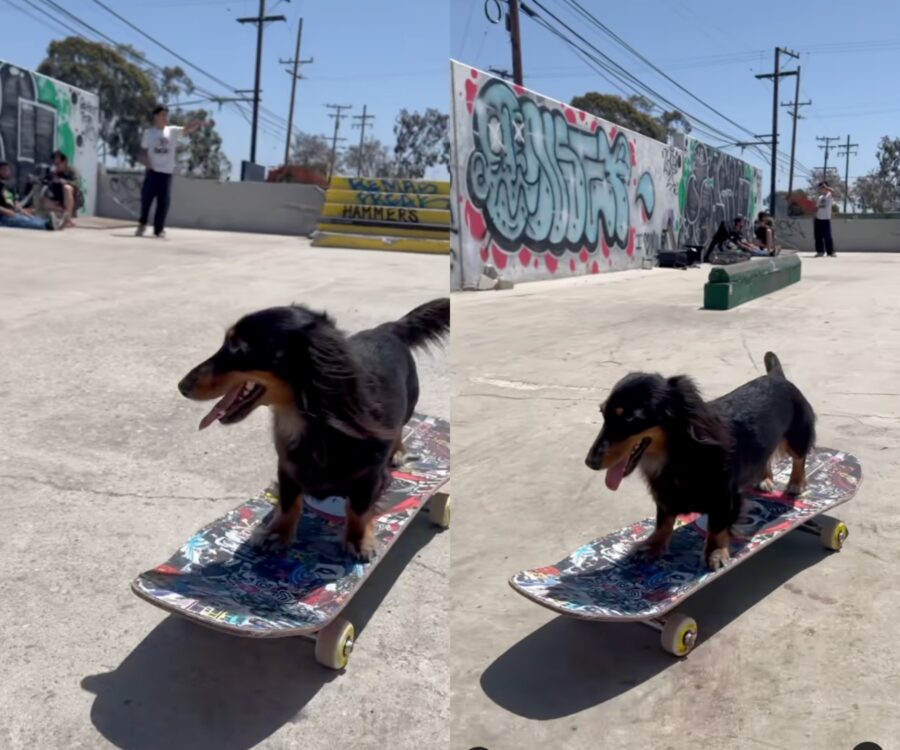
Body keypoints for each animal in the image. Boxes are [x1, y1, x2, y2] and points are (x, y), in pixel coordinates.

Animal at [179, 300, 450, 564]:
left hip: (408, 405)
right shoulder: (286, 467)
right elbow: (289, 503)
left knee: (399, 428)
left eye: (238, 348)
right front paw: (278, 533)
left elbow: (359, 508)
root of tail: (388, 328)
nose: (182, 386)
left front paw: (358, 540)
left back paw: (398, 451)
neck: (317, 423)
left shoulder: (371, 476)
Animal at [584, 352, 816, 568]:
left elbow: (717, 526)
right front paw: (653, 545)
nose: (590, 463)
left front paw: (715, 552)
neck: (680, 453)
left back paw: (796, 482)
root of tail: (777, 376)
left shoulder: (725, 497)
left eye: (629, 419)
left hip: (796, 437)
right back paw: (765, 479)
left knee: (799, 458)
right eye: (602, 412)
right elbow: (663, 521)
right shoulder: (666, 496)